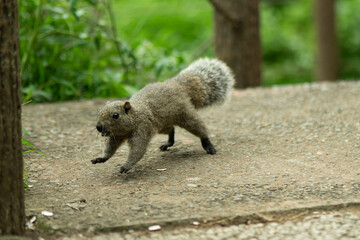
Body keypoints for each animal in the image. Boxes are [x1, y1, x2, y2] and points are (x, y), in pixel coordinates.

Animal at [91, 58, 235, 174]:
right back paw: (168, 143)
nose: (98, 127)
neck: (135, 117)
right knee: (171, 129)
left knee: (199, 129)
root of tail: (178, 84)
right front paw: (101, 158)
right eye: (99, 112)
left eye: (115, 115)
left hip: (186, 116)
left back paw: (208, 145)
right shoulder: (116, 136)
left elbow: (138, 150)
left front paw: (126, 166)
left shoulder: (142, 129)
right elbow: (110, 149)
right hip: (161, 125)